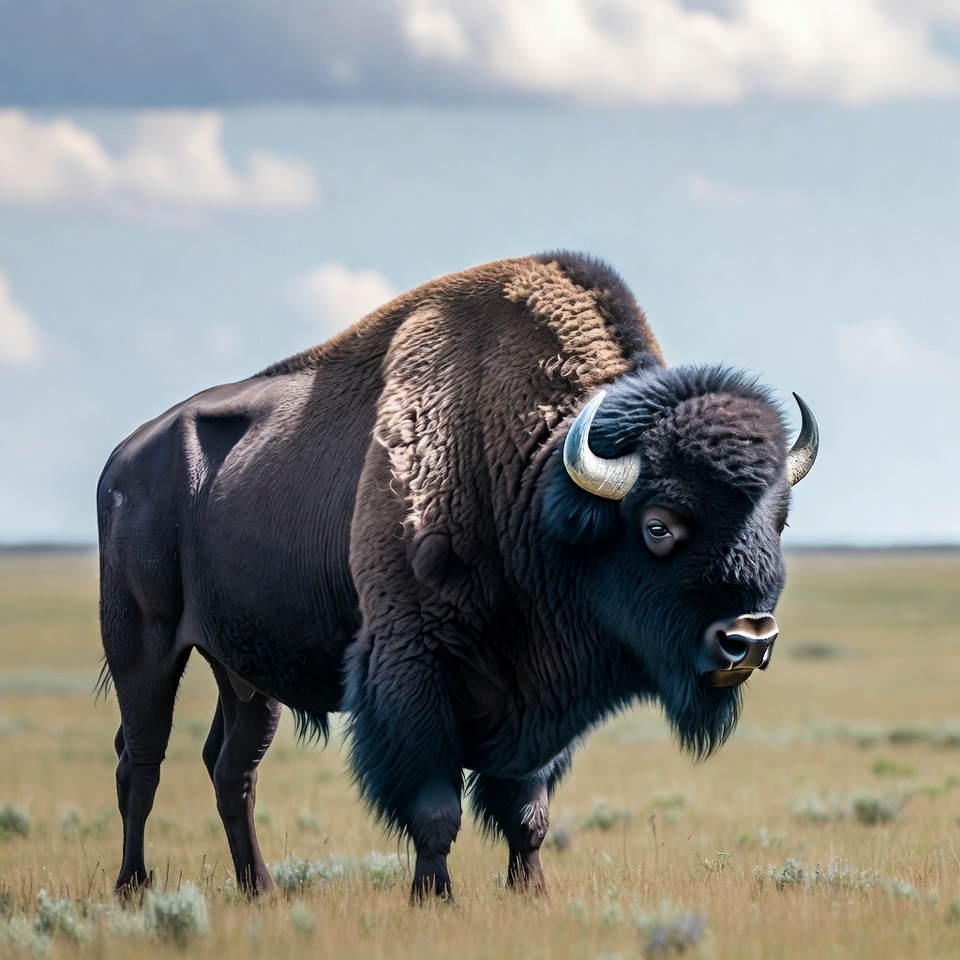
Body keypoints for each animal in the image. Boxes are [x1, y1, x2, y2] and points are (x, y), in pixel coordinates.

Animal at [97, 252, 818, 899]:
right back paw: (133, 886)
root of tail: (122, 459)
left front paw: (531, 891)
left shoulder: (538, 702)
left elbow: (527, 812)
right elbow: (436, 806)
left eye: (778, 520)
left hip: (247, 676)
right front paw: (433, 895)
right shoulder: (414, 672)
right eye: (659, 525)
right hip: (144, 650)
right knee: (141, 762)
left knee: (231, 770)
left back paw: (262, 890)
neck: (530, 476)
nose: (749, 639)